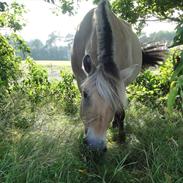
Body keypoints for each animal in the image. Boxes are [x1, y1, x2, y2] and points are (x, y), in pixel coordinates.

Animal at [71, 0, 165, 152]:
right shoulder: (80, 80)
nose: (95, 146)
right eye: (85, 94)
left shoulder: (121, 83)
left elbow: (121, 112)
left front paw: (121, 138)